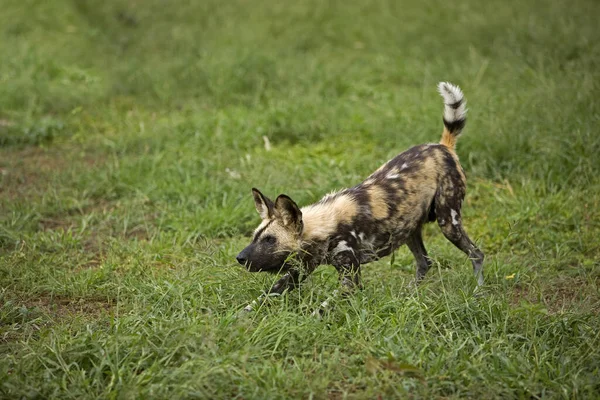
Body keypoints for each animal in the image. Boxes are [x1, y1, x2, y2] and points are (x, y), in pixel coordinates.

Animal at [234, 82, 482, 304]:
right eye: (255, 236)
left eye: (270, 240)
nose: (239, 258)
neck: (322, 228)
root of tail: (442, 147)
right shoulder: (298, 271)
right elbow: (261, 299)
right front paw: (239, 319)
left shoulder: (350, 280)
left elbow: (322, 310)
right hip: (409, 229)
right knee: (424, 263)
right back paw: (408, 297)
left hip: (448, 222)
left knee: (476, 253)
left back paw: (478, 294)